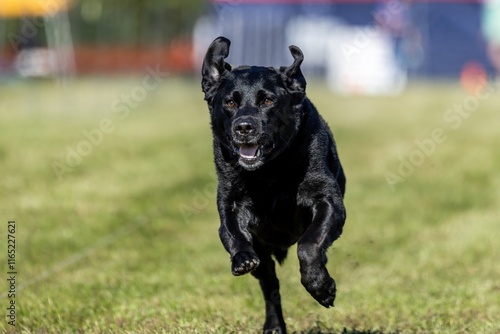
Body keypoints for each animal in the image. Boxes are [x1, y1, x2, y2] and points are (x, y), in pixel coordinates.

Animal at [201, 37, 346, 334]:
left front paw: (321, 287)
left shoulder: (328, 202)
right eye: (230, 103)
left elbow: (309, 244)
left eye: (267, 100)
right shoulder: (230, 200)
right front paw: (242, 258)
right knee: (271, 286)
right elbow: (232, 232)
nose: (244, 127)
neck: (269, 172)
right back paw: (274, 326)